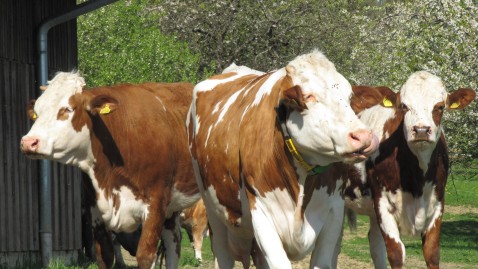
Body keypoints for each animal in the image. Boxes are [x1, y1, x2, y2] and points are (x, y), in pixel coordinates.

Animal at [19, 71, 200, 268]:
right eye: (36, 113)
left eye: (67, 109)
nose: (28, 142)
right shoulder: (95, 211)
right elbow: (104, 255)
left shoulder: (155, 205)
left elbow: (145, 256)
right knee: (173, 241)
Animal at [188, 49, 380, 266]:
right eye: (308, 96)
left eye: (348, 98)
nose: (364, 137)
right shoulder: (262, 214)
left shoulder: (334, 213)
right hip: (214, 212)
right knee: (223, 254)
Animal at [340, 71, 474, 268]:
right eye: (404, 106)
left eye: (440, 107)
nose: (421, 130)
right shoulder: (382, 203)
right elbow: (396, 253)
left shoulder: (437, 203)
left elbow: (432, 253)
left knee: (375, 244)